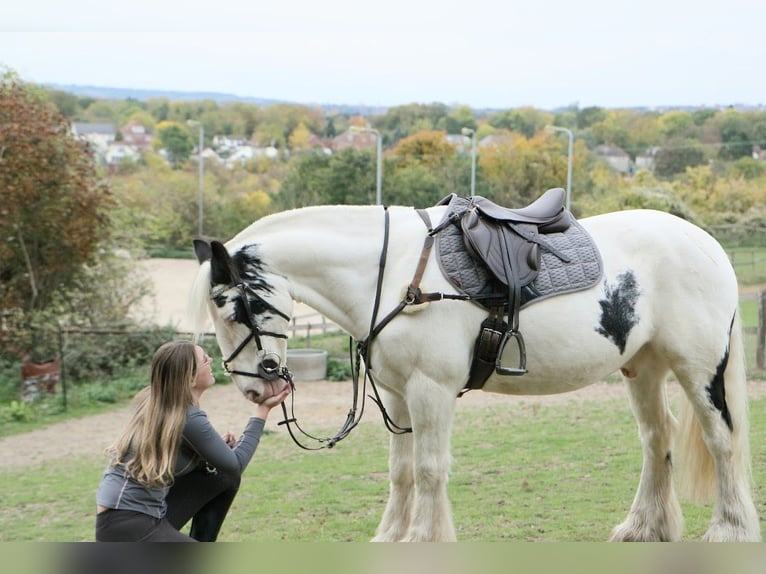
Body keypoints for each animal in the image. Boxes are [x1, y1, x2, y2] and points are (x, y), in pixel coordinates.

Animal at [188, 195, 760, 542]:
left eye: (228, 306)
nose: (253, 387)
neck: (393, 275)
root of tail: (706, 243)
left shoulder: (430, 390)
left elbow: (428, 469)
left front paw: (423, 539)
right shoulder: (398, 397)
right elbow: (401, 472)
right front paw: (391, 537)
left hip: (699, 370)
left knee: (722, 442)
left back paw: (730, 530)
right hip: (643, 369)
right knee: (657, 439)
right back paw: (644, 528)